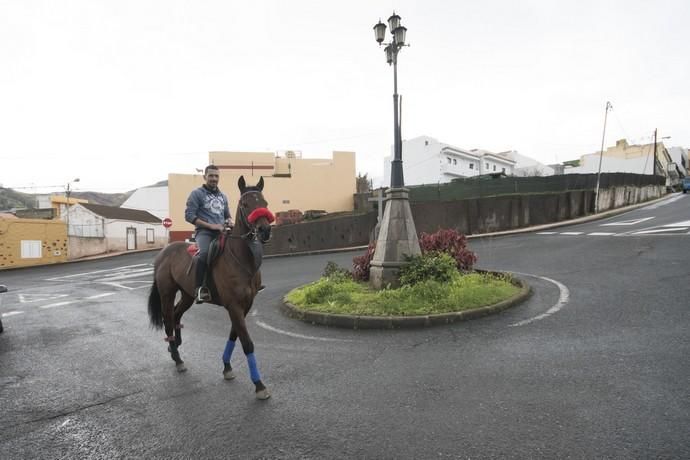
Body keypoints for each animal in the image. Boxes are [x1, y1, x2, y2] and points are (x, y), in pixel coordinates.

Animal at [148, 175, 274, 398]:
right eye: (245, 204)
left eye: (264, 203)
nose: (264, 230)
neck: (241, 258)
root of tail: (163, 253)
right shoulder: (234, 306)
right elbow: (247, 343)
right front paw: (259, 385)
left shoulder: (244, 306)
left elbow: (234, 335)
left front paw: (226, 367)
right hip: (167, 293)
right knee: (168, 319)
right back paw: (178, 359)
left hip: (188, 295)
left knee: (177, 315)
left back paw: (175, 348)